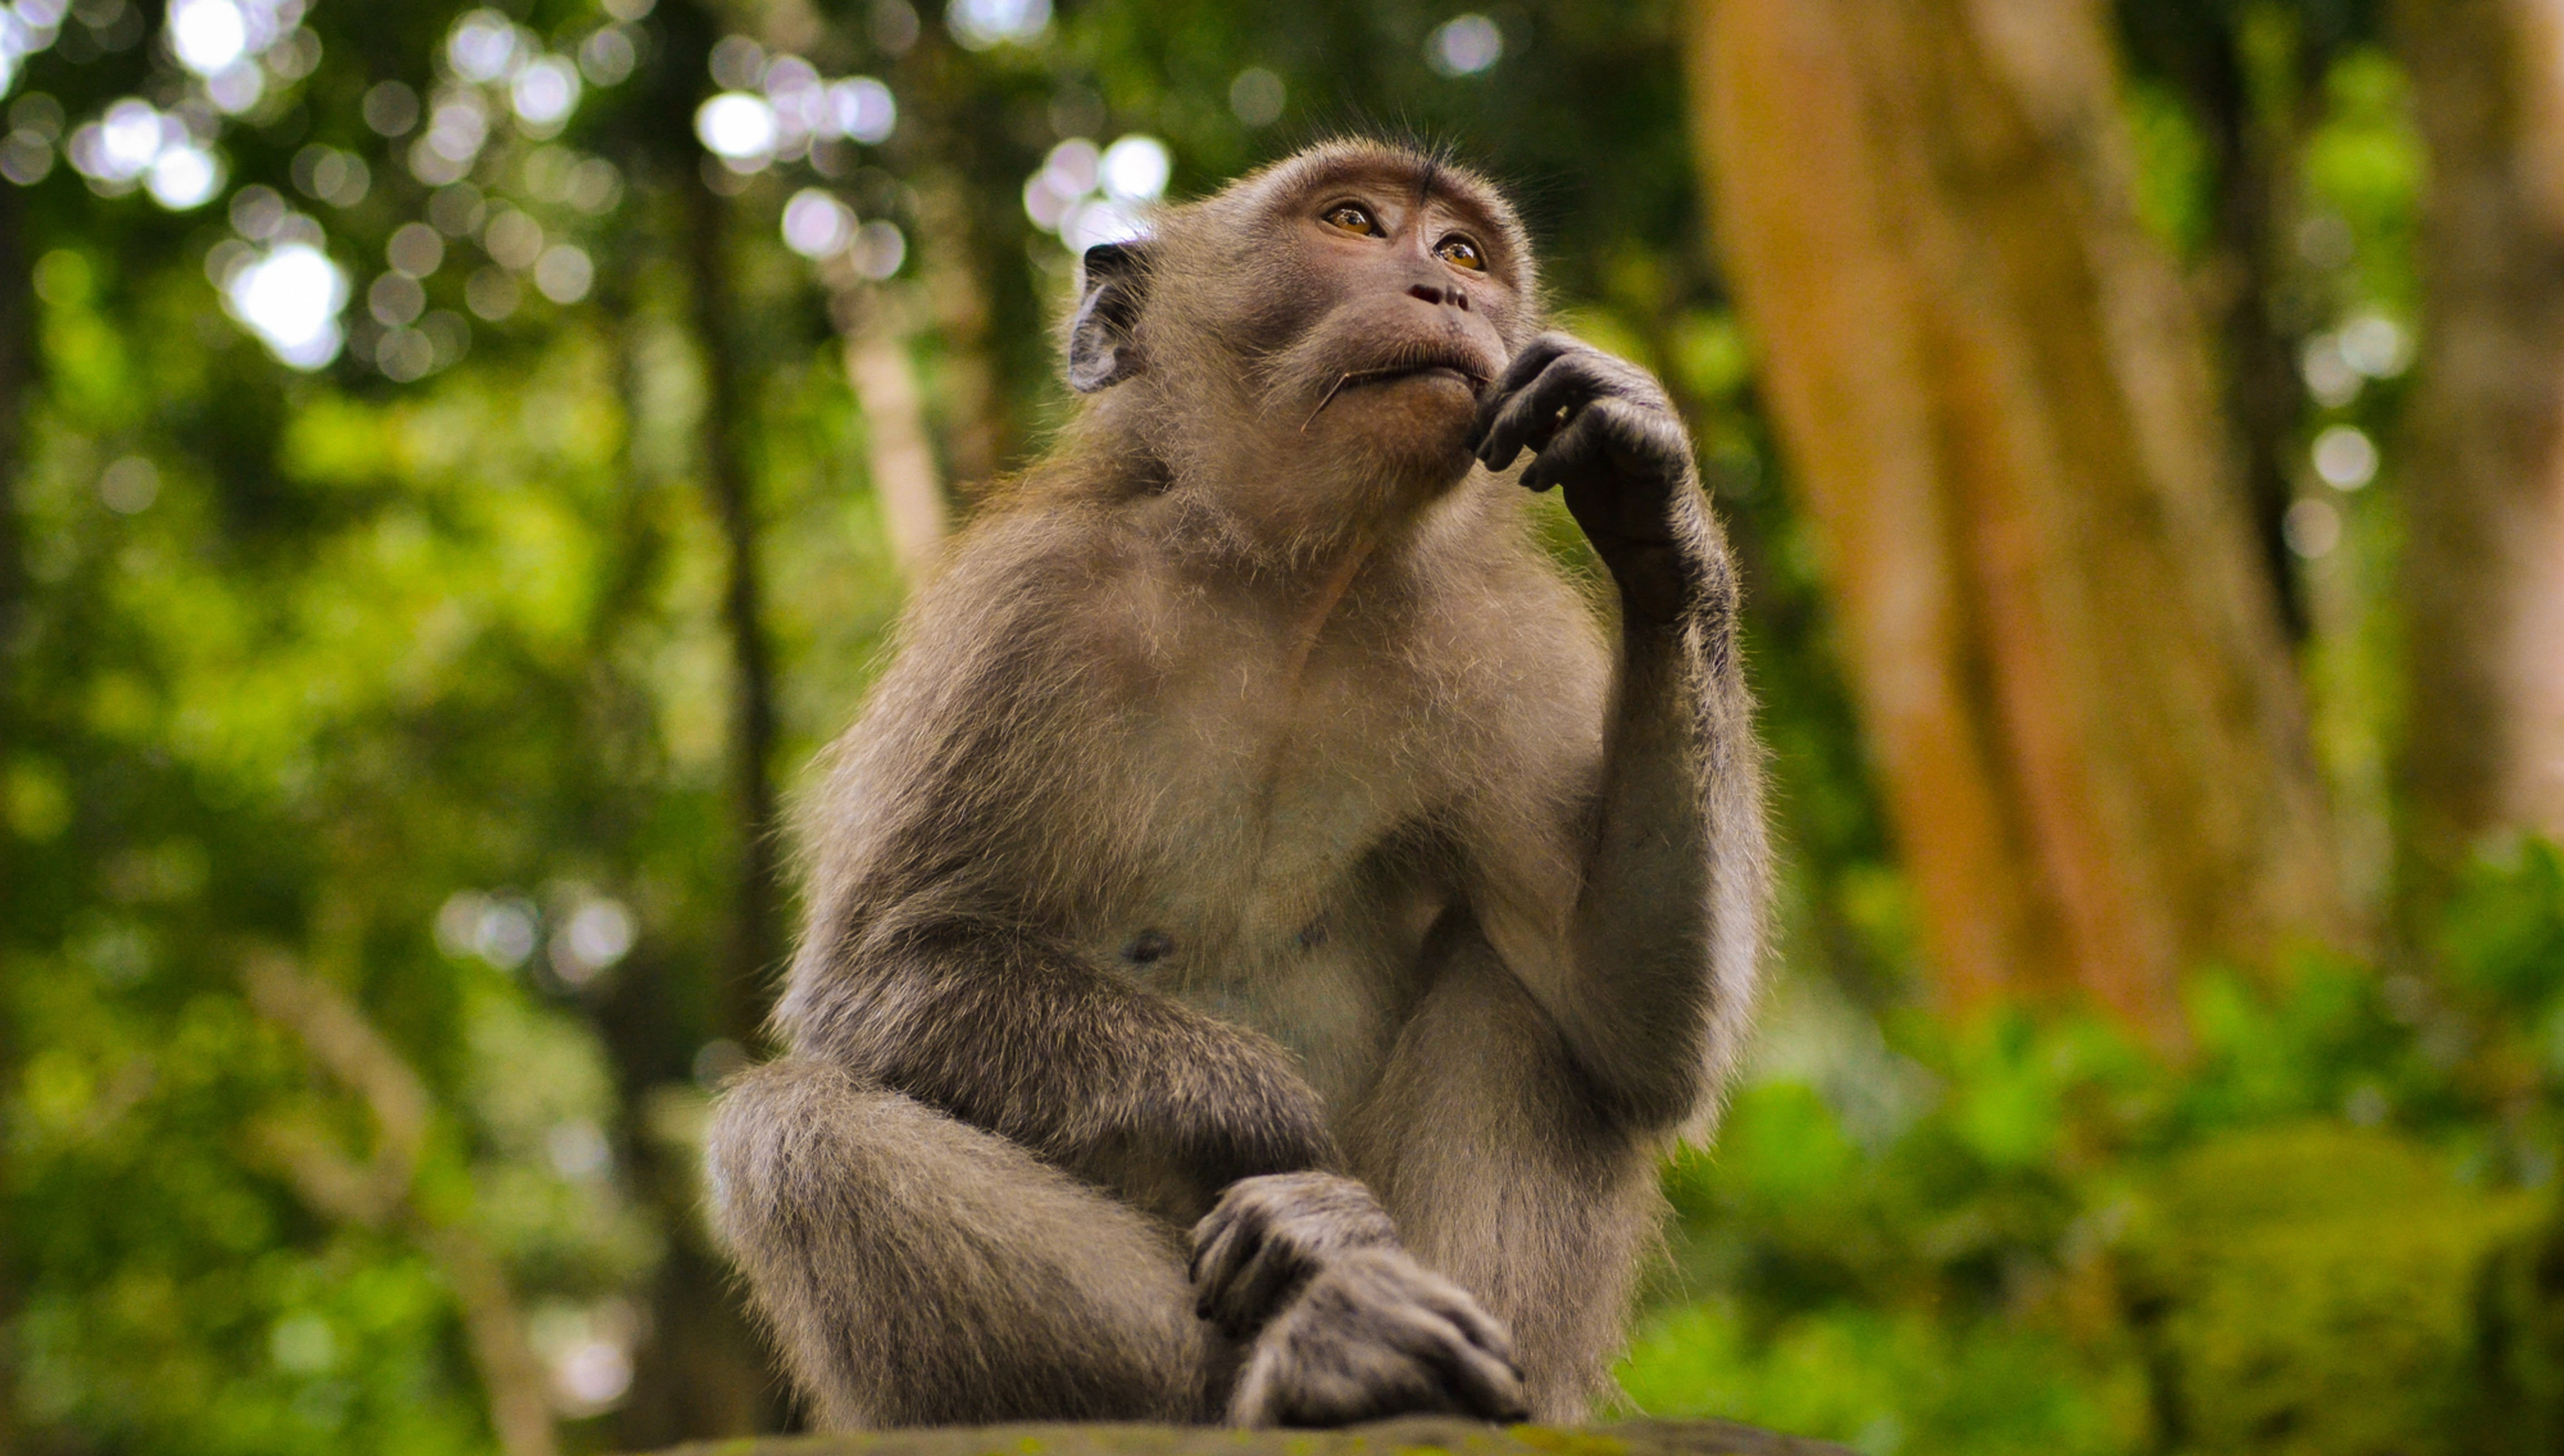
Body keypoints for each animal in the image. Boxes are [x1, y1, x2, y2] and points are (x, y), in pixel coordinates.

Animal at [706, 138, 1767, 1431]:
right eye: (1353, 224)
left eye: (1464, 251)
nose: (1446, 291)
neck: (1289, 590)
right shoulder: (1021, 614)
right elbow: (877, 972)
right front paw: (1286, 1144)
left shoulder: (1505, 648)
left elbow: (1630, 1022)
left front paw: (1650, 491)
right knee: (790, 1129)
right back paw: (1318, 1347)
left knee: (1527, 998)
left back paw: (1445, 1368)